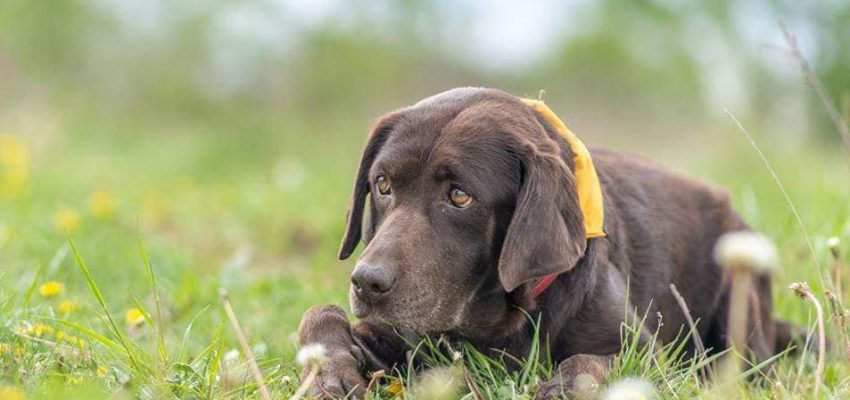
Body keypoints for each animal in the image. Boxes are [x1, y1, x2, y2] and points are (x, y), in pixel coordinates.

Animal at [296, 86, 788, 396]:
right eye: (383, 185)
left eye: (459, 195)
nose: (367, 282)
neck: (498, 324)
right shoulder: (396, 337)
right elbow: (320, 315)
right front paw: (329, 375)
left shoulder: (647, 355)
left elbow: (590, 362)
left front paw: (563, 386)